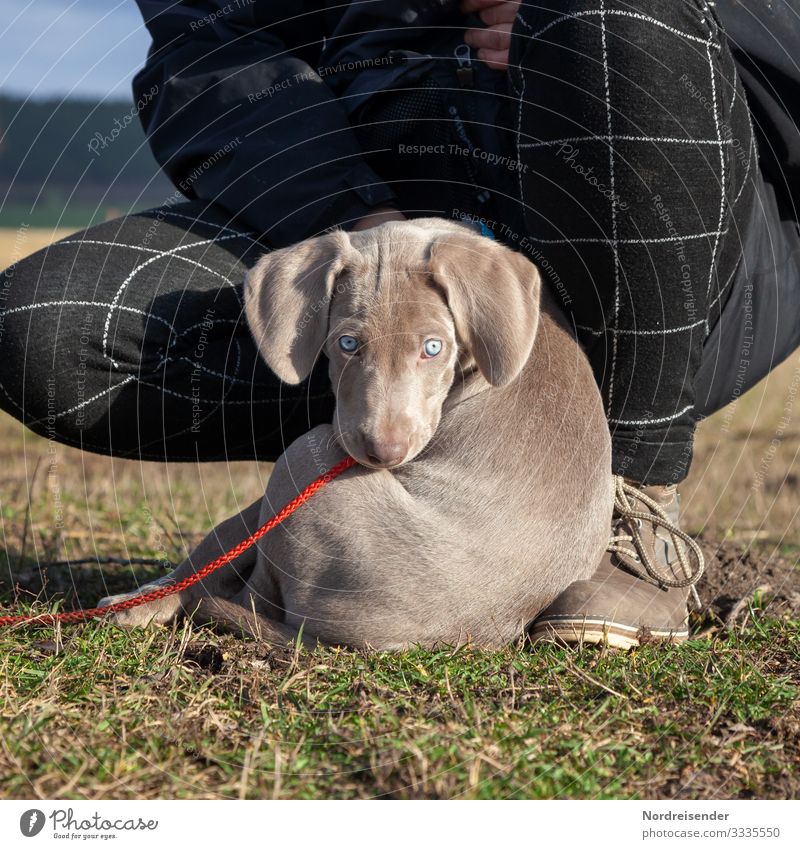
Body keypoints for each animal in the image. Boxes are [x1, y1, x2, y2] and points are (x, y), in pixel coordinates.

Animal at [100, 219, 612, 648]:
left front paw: (146, 601)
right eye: (347, 343)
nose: (382, 453)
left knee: (256, 592)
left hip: (306, 457)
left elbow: (225, 535)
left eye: (433, 348)